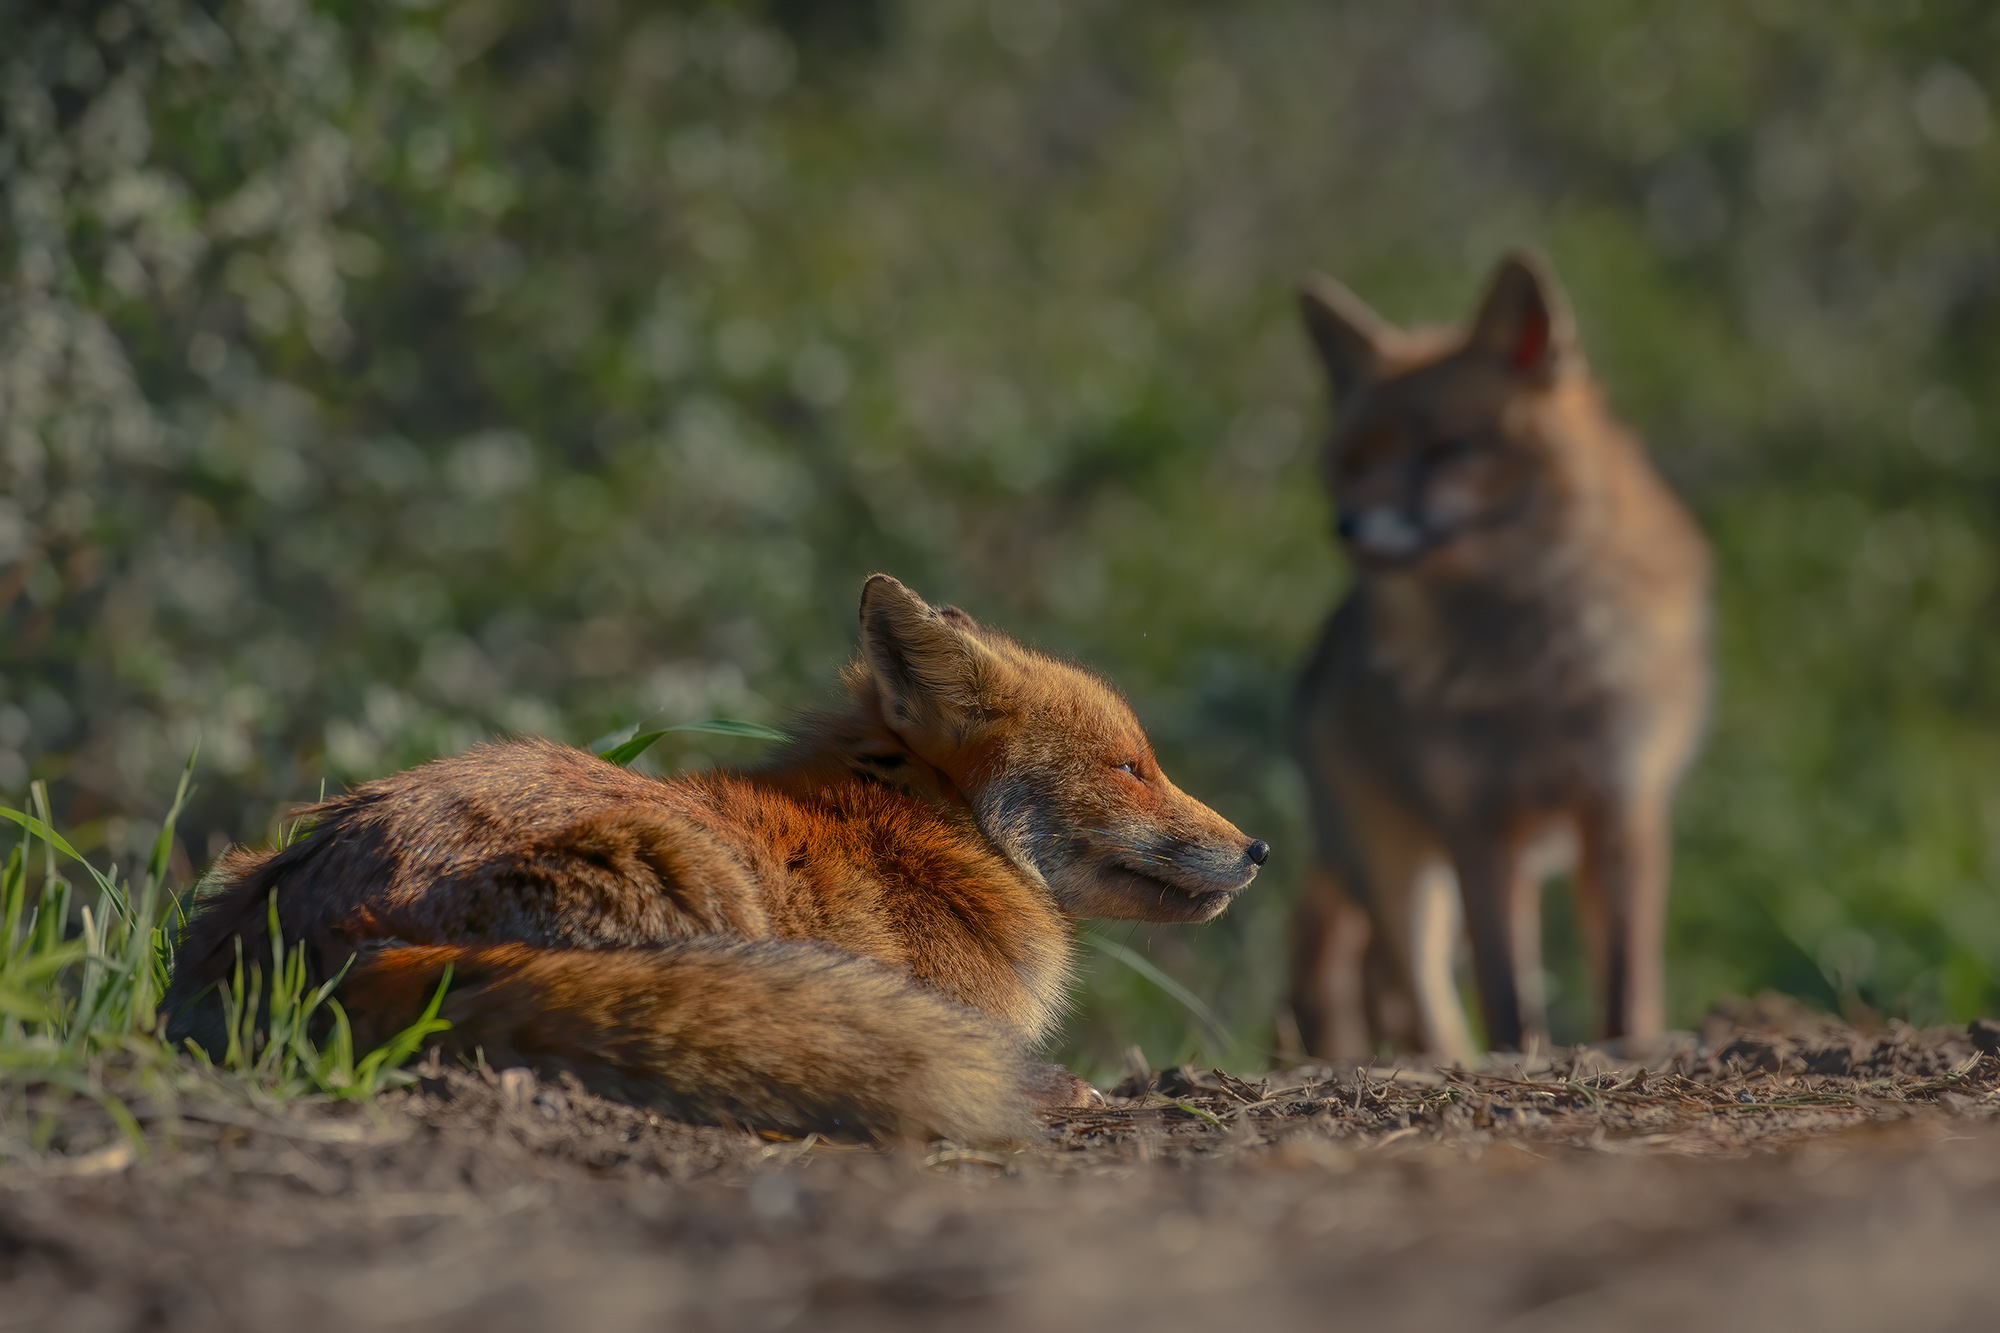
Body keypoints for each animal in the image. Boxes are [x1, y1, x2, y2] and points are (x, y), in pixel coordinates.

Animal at [1286, 252, 1710, 1063]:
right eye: (1352, 461)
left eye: (1444, 449)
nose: (1347, 526)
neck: (1530, 673)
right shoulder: (1477, 824)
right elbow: (1505, 985)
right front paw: (1518, 1056)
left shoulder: (1619, 803)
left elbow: (1626, 977)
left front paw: (1628, 1045)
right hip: (1405, 878)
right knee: (1418, 997)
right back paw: (1441, 1061)